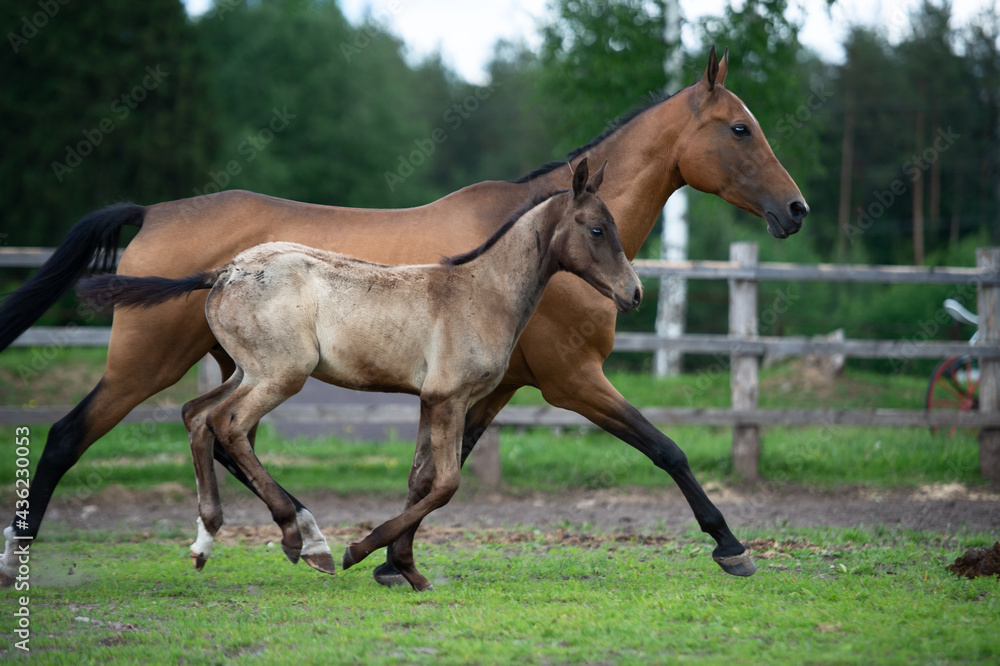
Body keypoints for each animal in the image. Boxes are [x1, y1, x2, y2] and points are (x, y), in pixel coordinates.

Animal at [0, 49, 804, 584]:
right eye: (740, 129)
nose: (794, 209)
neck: (518, 260)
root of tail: (153, 213)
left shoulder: (490, 387)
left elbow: (436, 475)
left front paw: (392, 559)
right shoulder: (572, 379)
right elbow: (665, 448)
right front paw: (729, 545)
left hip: (241, 366)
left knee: (218, 430)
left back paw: (293, 534)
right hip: (151, 360)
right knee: (76, 434)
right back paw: (24, 554)